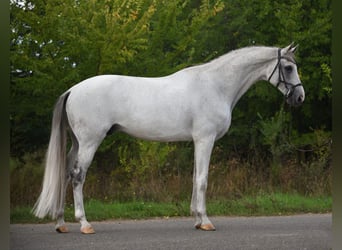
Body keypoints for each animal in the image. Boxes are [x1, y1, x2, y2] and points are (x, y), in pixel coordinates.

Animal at [32, 44, 304, 233]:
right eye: (288, 68)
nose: (299, 97)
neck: (215, 85)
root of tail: (73, 89)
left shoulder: (197, 141)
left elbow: (195, 178)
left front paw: (197, 219)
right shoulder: (205, 139)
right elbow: (203, 180)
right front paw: (206, 221)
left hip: (76, 144)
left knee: (65, 173)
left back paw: (61, 223)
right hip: (89, 142)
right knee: (78, 176)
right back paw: (84, 224)